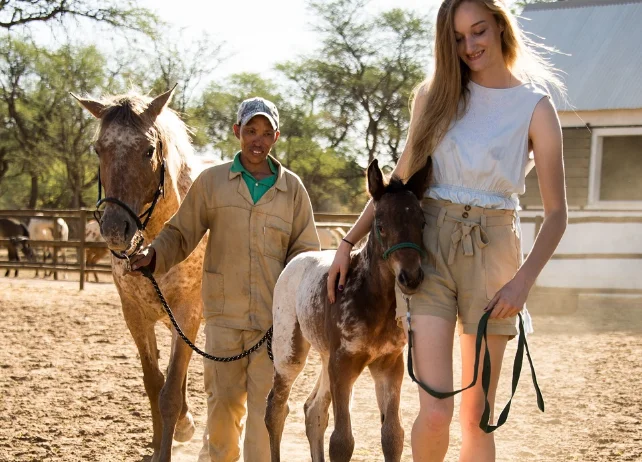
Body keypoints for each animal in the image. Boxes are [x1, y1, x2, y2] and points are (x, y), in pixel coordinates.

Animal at [74, 87, 205, 462]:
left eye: (148, 150)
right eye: (99, 149)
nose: (115, 229)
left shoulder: (188, 313)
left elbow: (170, 393)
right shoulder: (134, 314)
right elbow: (153, 383)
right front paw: (164, 438)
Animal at [262, 157, 432, 460]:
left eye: (422, 223)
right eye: (380, 225)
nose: (411, 278)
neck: (375, 303)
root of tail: (296, 260)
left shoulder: (389, 364)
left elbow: (393, 436)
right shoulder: (343, 364)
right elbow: (341, 441)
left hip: (325, 355)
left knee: (313, 410)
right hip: (289, 352)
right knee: (276, 410)